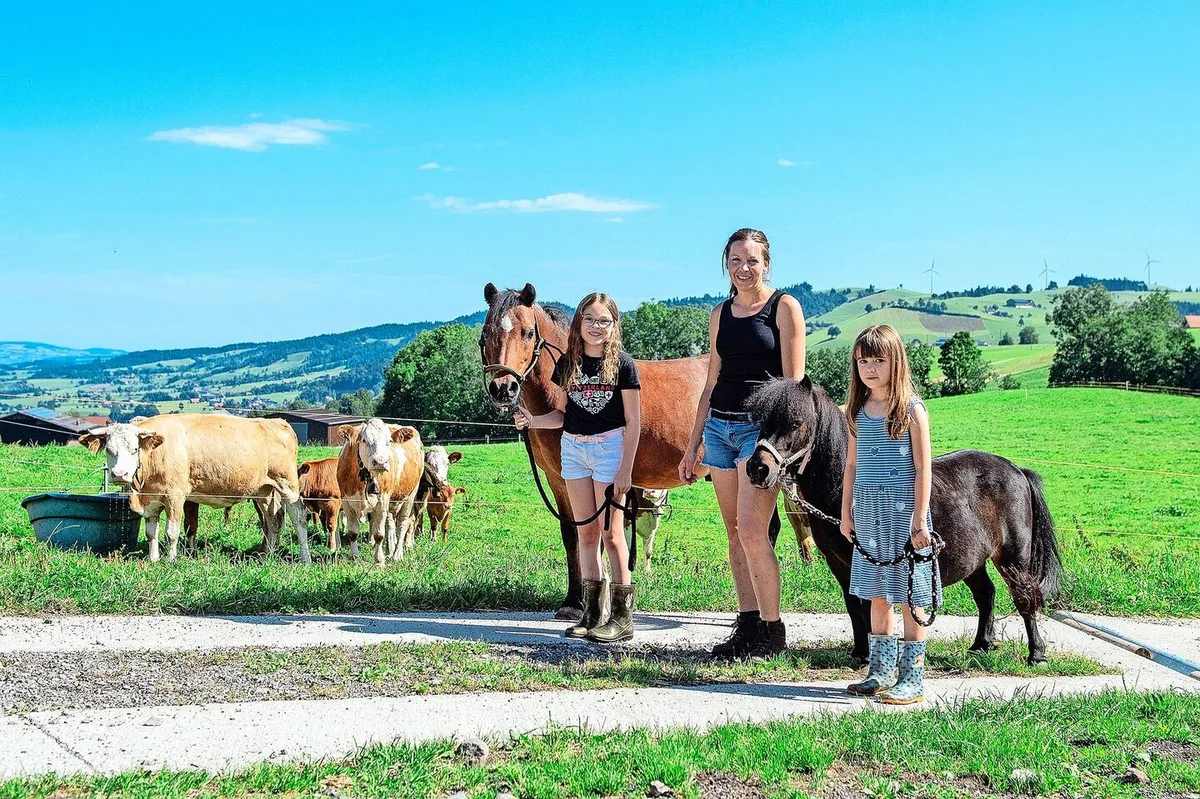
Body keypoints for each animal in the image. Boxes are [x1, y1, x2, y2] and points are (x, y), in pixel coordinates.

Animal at [742, 377, 1063, 664]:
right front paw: (860, 652)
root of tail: (1017, 470)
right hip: (973, 559)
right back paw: (981, 645)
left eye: (796, 422)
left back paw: (1037, 654)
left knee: (1024, 597)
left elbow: (868, 605)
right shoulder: (839, 563)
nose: (758, 468)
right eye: (761, 422)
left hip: (1013, 557)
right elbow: (853, 604)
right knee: (986, 594)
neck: (843, 491)